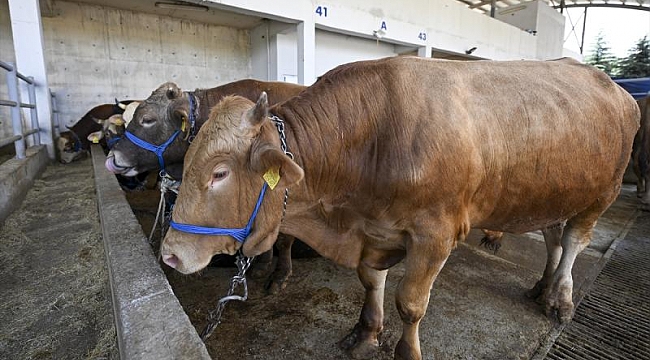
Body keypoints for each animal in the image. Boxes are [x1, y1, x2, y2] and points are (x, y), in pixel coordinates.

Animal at [159, 57, 636, 358]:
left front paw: (406, 351)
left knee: (573, 243)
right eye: (187, 158)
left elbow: (410, 303)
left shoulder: (435, 235)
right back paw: (542, 286)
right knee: (554, 239)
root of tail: (617, 89)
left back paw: (560, 298)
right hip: (556, 193)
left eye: (220, 173)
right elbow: (371, 282)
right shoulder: (375, 229)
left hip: (601, 195)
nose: (170, 253)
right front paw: (366, 333)